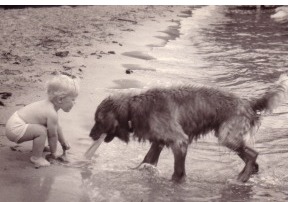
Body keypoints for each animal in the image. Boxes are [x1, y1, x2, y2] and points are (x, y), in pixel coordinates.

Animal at [89, 74, 286, 183]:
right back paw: (247, 175)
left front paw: (176, 183)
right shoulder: (159, 142)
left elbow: (178, 171)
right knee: (252, 159)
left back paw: (241, 179)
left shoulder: (179, 141)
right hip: (228, 136)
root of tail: (248, 102)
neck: (134, 108)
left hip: (227, 136)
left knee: (253, 154)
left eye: (98, 121)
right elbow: (146, 161)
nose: (90, 135)